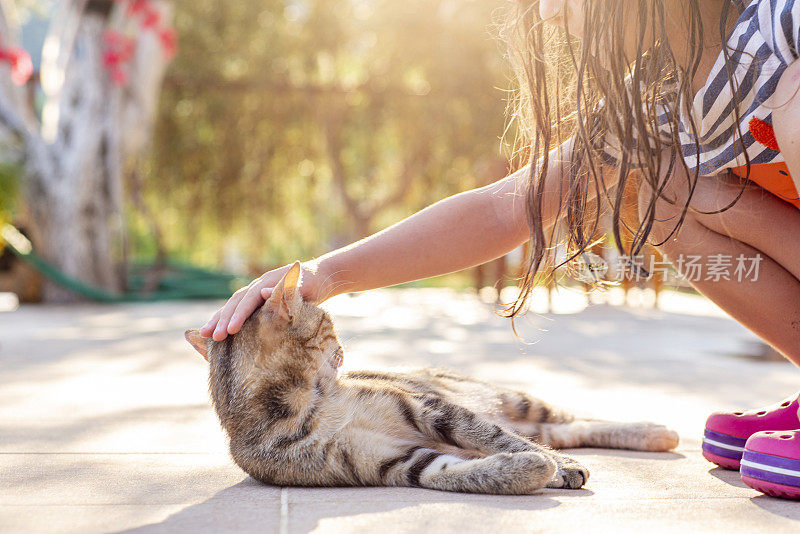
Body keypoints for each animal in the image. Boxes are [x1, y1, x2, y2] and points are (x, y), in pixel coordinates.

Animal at [184, 264, 680, 498]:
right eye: (330, 325)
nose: (345, 352)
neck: (311, 404)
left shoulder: (427, 408)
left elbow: (492, 437)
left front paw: (553, 466)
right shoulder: (392, 463)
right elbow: (461, 473)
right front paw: (536, 470)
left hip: (514, 398)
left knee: (568, 421)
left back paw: (656, 431)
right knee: (561, 431)